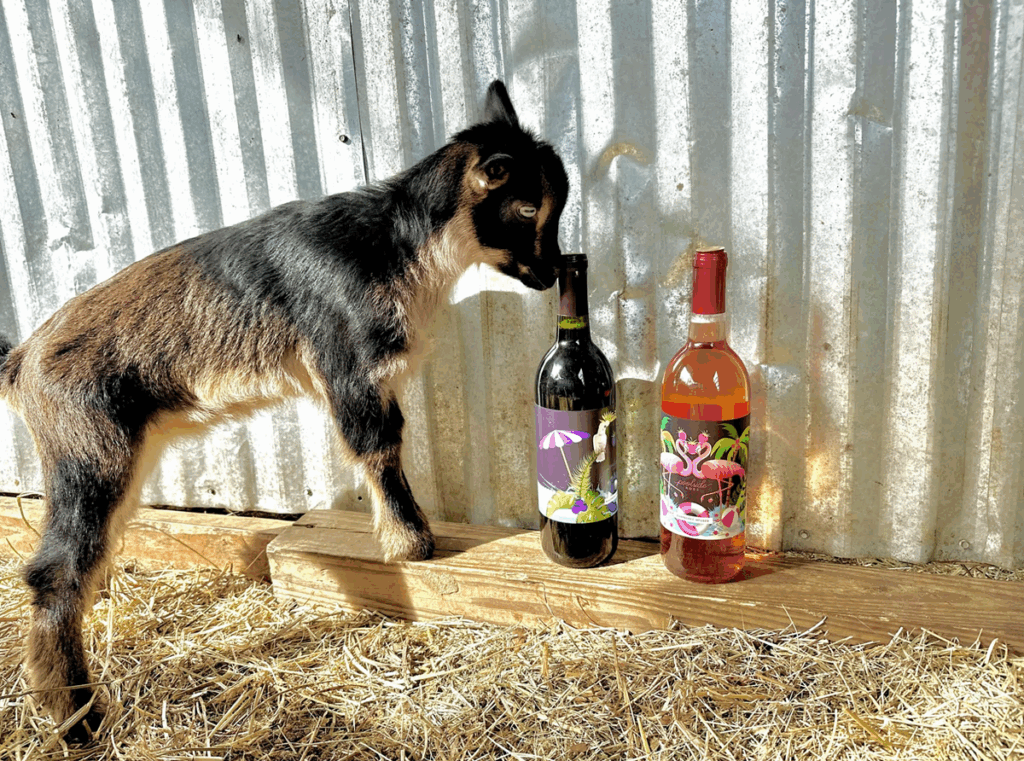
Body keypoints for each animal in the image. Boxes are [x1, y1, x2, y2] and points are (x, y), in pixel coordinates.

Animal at [0, 80, 569, 740]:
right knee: (55, 572)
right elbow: (380, 447)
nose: (553, 271)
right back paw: (76, 719)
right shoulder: (350, 363)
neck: (395, 245)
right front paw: (412, 545)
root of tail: (22, 361)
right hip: (88, 452)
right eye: (527, 208)